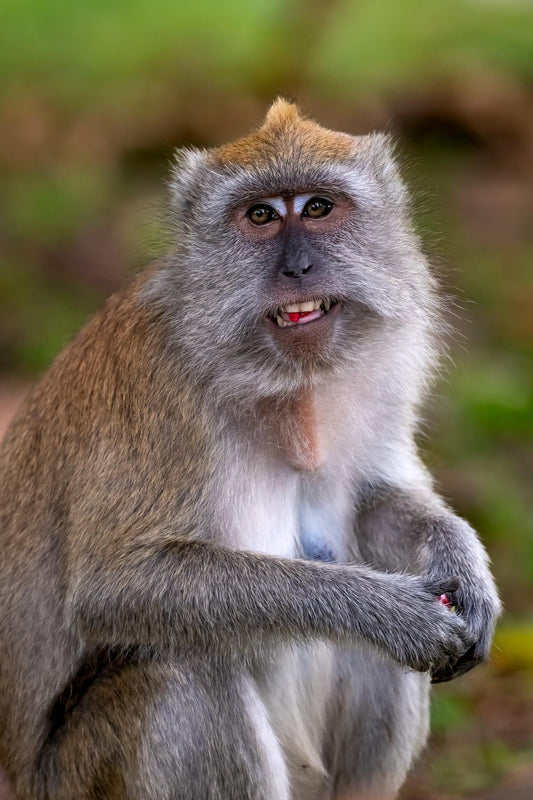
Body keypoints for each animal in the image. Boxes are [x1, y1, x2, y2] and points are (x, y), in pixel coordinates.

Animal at [0, 99, 500, 800]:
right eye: (260, 215)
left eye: (317, 207)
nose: (297, 269)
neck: (279, 382)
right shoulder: (160, 387)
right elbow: (118, 585)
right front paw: (388, 612)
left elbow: (375, 501)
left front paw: (463, 563)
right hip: (72, 780)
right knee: (180, 670)